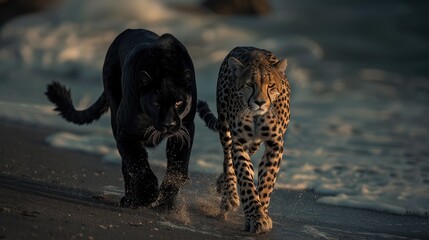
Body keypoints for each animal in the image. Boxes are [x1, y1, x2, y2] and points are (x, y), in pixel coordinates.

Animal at [197, 46, 290, 232]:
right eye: (250, 84)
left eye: (270, 85)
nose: (260, 102)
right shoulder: (239, 142)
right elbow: (245, 177)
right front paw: (256, 216)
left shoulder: (275, 144)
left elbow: (267, 180)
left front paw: (262, 213)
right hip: (225, 127)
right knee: (227, 159)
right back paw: (229, 196)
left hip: (254, 143)